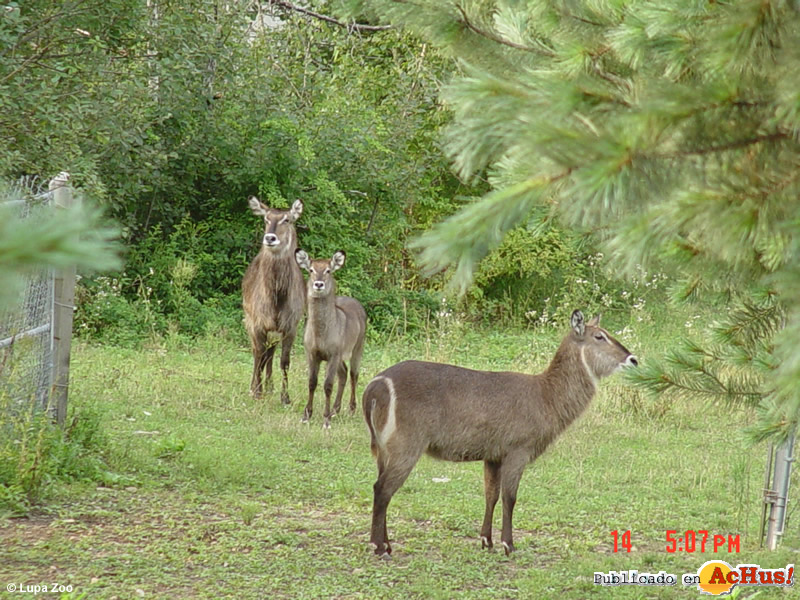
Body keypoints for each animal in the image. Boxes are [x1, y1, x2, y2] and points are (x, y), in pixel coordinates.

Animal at [239, 198, 304, 404]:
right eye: (266, 219)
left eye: (287, 219)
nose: (270, 238)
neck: (277, 299)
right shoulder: (258, 324)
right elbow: (259, 355)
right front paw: (256, 392)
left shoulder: (290, 327)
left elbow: (284, 361)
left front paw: (285, 397)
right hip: (249, 321)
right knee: (258, 353)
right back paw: (255, 387)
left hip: (274, 332)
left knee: (270, 354)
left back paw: (269, 387)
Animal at [296, 251, 368, 428]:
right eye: (311, 270)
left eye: (328, 270)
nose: (318, 284)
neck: (321, 334)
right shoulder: (312, 354)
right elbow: (312, 382)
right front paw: (306, 415)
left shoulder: (333, 355)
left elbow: (328, 385)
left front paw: (326, 420)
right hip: (341, 356)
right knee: (343, 373)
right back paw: (336, 409)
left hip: (357, 348)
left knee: (354, 375)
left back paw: (351, 409)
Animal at [362, 310, 636, 556]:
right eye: (600, 336)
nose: (632, 359)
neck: (546, 396)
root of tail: (374, 386)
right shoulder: (518, 451)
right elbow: (509, 497)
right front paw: (508, 544)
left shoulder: (492, 455)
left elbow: (490, 495)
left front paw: (487, 541)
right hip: (406, 446)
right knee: (382, 489)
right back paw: (379, 547)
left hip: (384, 450)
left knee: (382, 488)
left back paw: (386, 544)